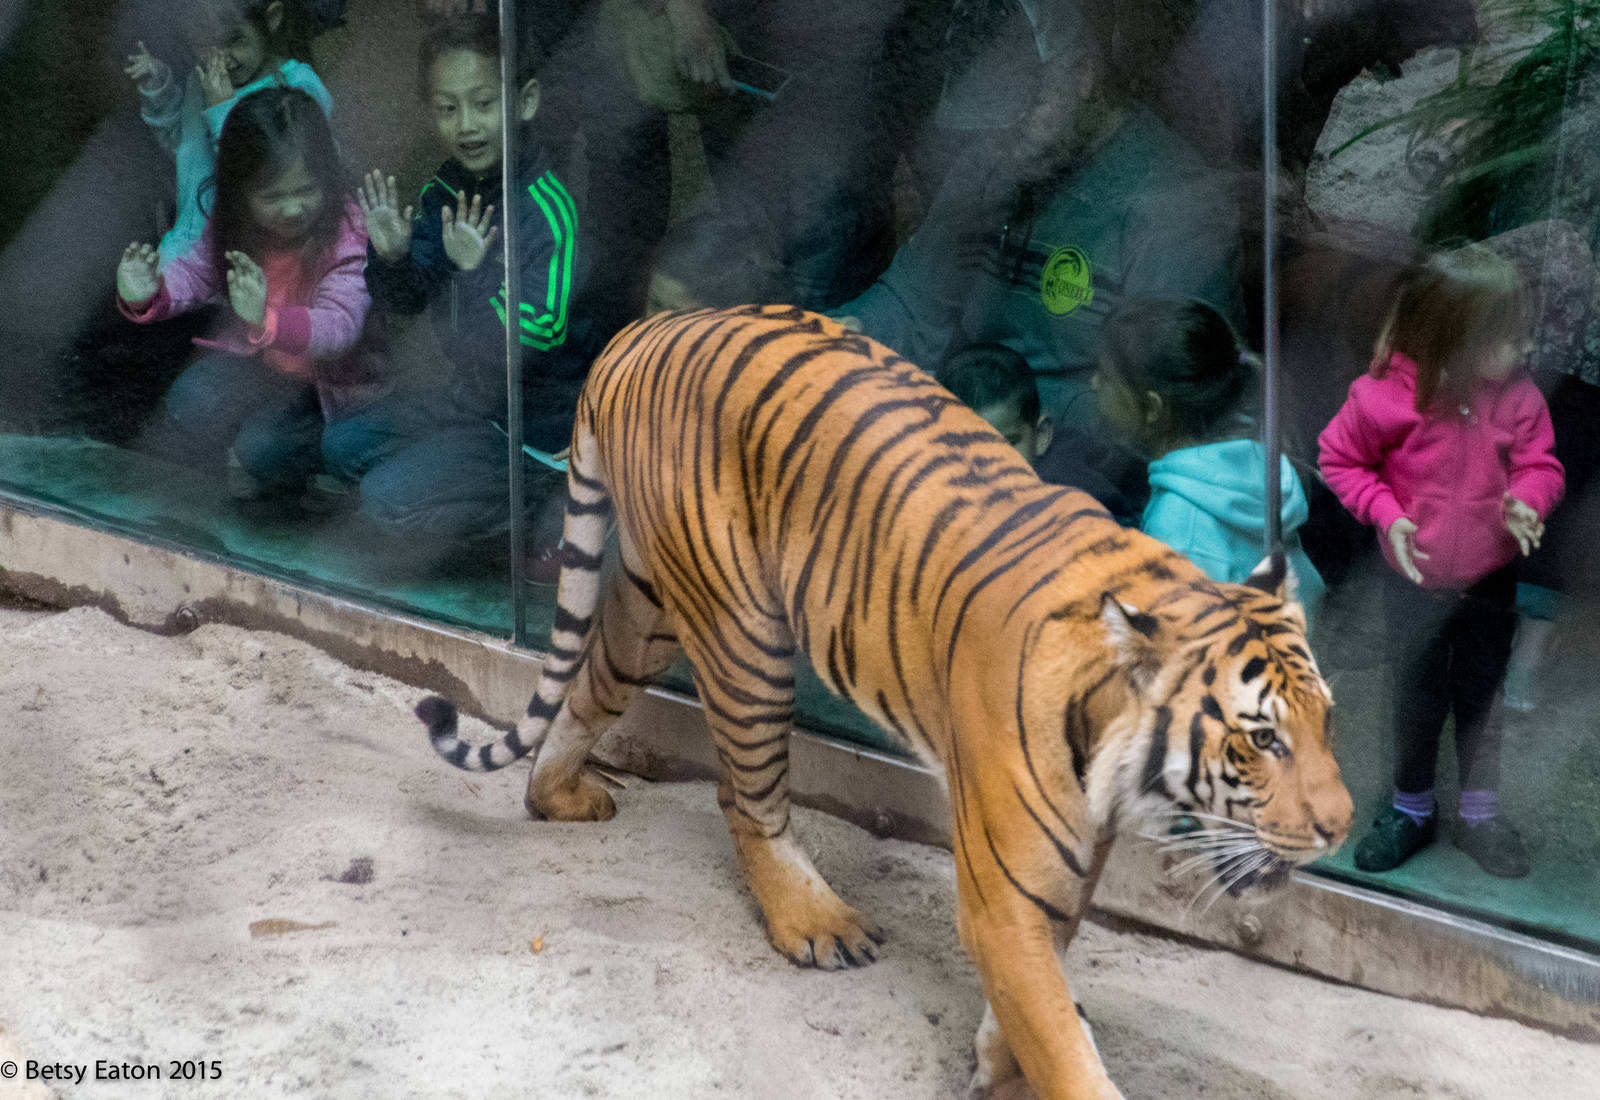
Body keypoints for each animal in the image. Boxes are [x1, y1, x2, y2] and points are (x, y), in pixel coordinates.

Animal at [415, 305, 1353, 1100]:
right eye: (1260, 740)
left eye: (1327, 721)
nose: (1341, 827)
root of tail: (639, 332)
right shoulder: (1006, 888)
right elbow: (1061, 1043)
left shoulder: (1069, 864)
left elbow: (1041, 994)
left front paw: (997, 1061)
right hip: (743, 630)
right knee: (744, 796)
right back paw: (814, 921)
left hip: (649, 603)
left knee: (587, 685)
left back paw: (557, 795)